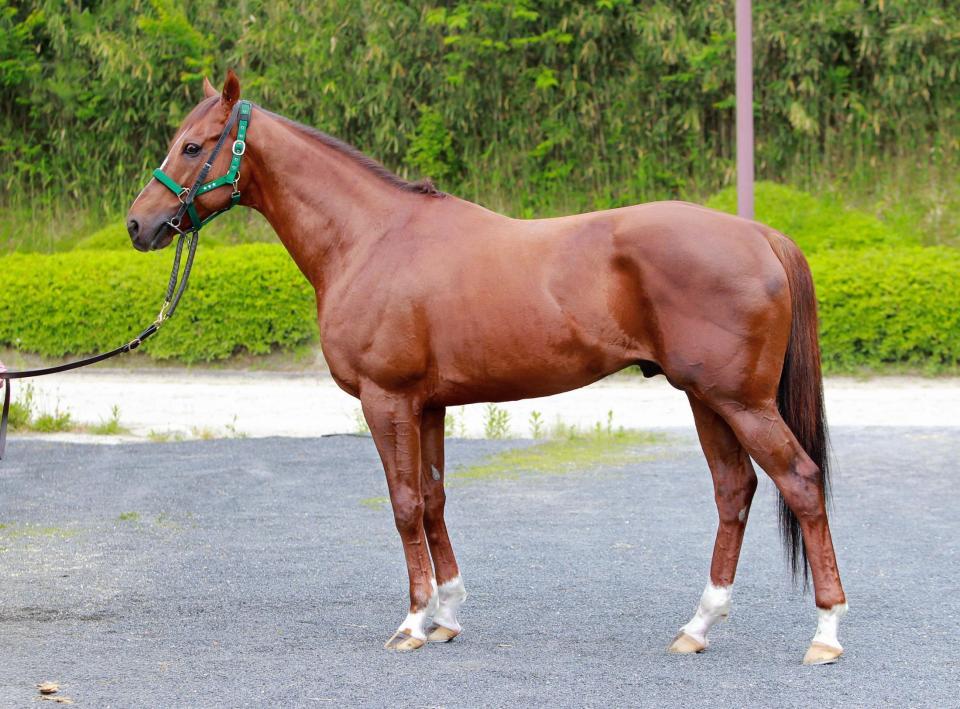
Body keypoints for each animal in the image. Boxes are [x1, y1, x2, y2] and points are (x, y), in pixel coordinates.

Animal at [126, 71, 847, 665]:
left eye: (193, 146)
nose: (138, 224)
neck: (371, 238)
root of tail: (760, 235)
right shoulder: (428, 405)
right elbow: (434, 499)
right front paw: (445, 615)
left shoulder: (386, 399)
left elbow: (404, 503)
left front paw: (413, 622)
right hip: (707, 397)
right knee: (735, 490)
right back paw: (697, 626)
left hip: (740, 401)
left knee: (800, 482)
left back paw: (825, 633)